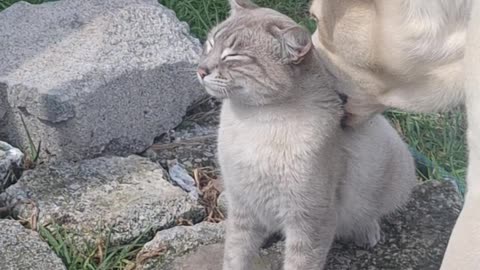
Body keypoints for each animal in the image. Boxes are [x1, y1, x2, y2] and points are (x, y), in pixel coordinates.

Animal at [196, 1, 416, 268]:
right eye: (210, 44)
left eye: (233, 56)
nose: (200, 70)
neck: (252, 123)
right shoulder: (243, 206)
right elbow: (235, 256)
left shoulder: (309, 220)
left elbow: (298, 262)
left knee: (369, 214)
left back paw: (366, 232)